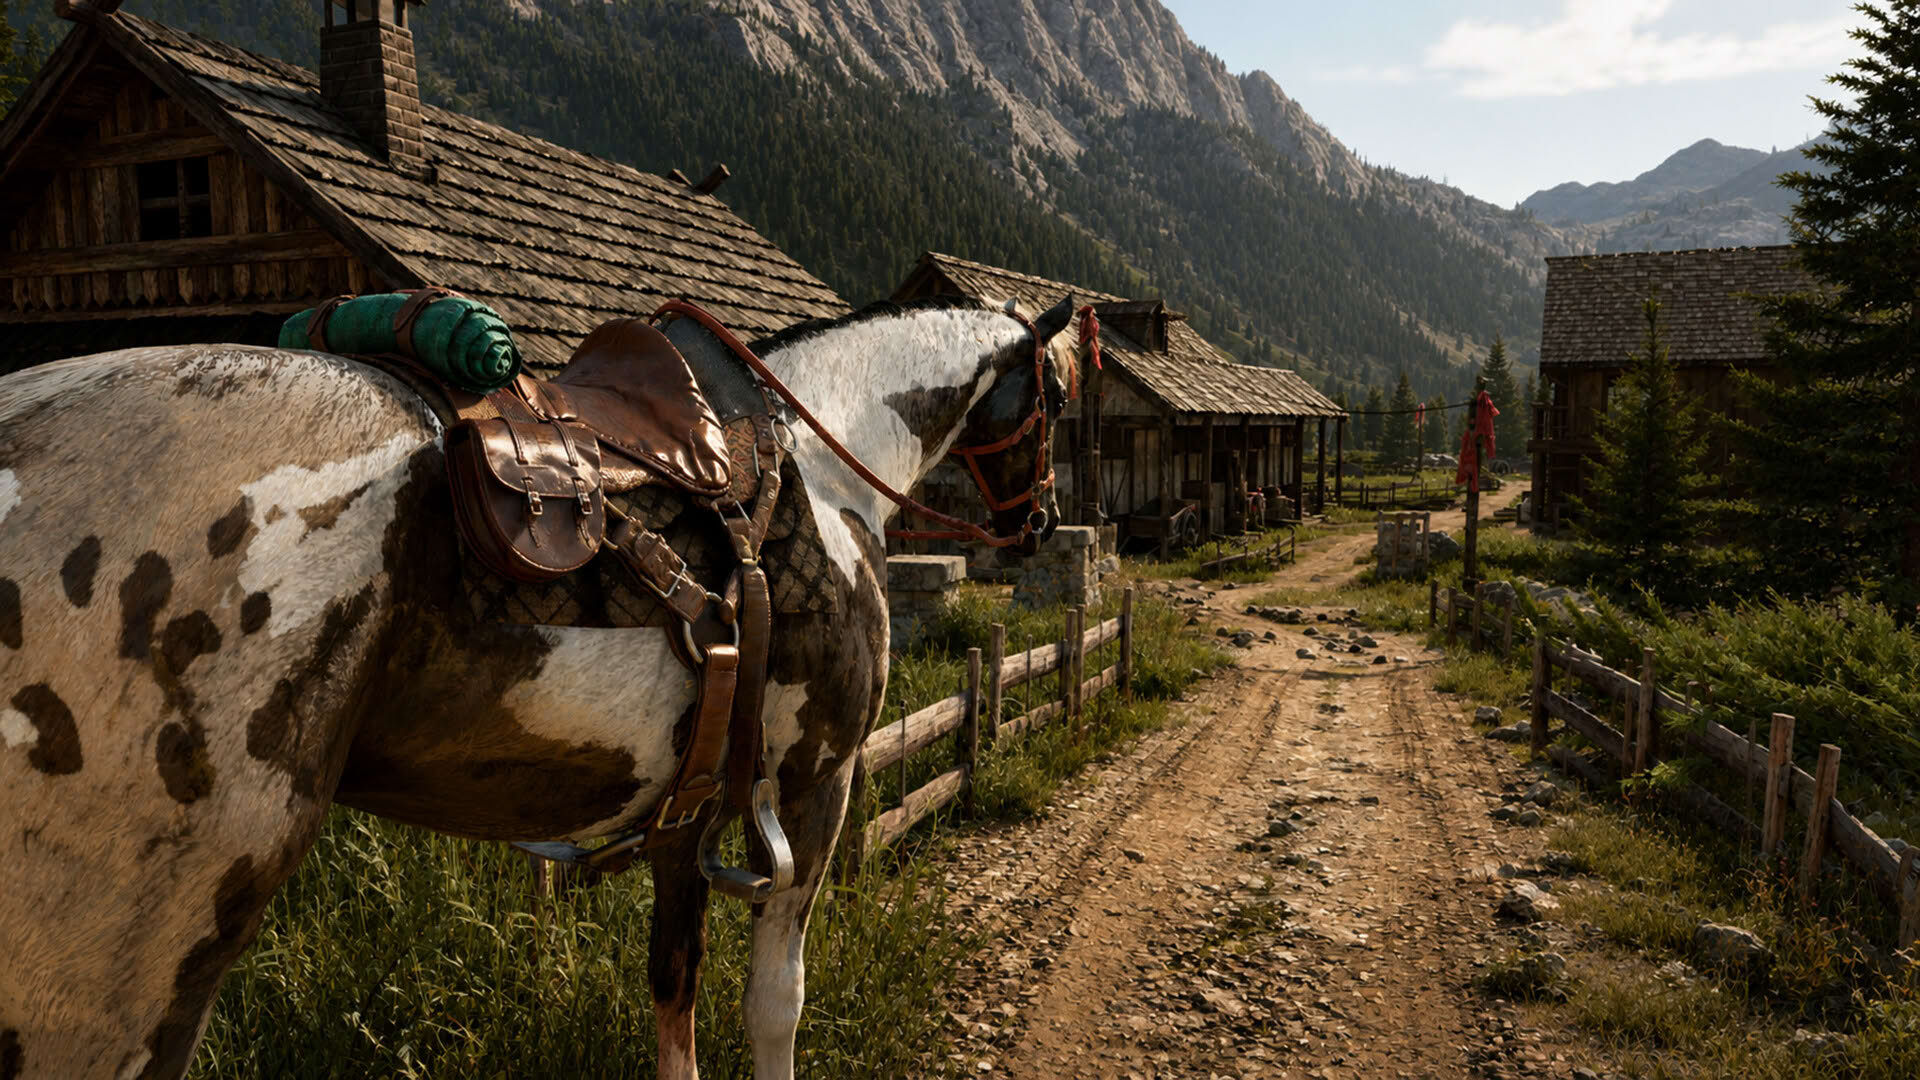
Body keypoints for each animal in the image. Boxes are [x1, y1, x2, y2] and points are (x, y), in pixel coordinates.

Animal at [0, 294, 1076, 1080]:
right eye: (1059, 400)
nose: (1037, 521)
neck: (821, 457)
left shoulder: (685, 815)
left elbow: (673, 990)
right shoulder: (820, 780)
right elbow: (776, 1004)